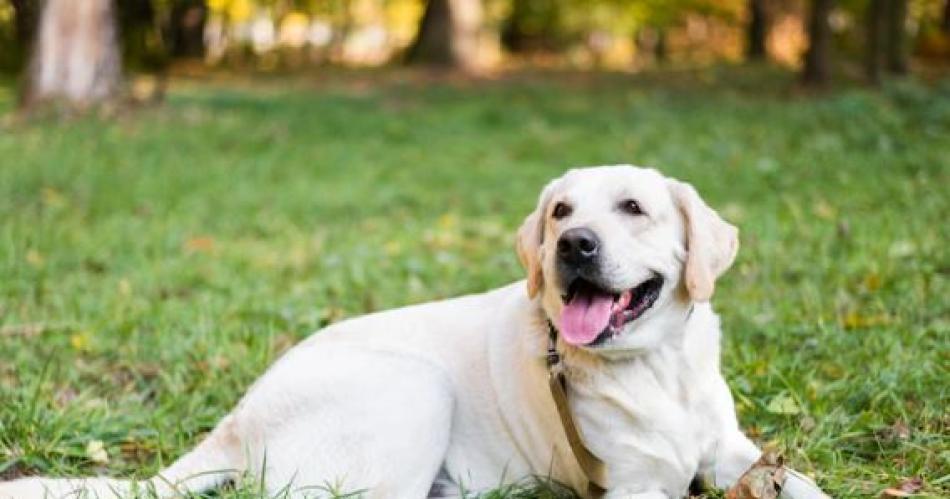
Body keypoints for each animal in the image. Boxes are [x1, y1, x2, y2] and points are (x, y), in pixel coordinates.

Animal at [0, 167, 828, 499]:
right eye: (562, 211)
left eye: (633, 207)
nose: (574, 245)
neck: (657, 368)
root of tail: (238, 415)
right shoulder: (629, 485)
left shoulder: (738, 453)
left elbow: (800, 481)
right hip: (414, 386)